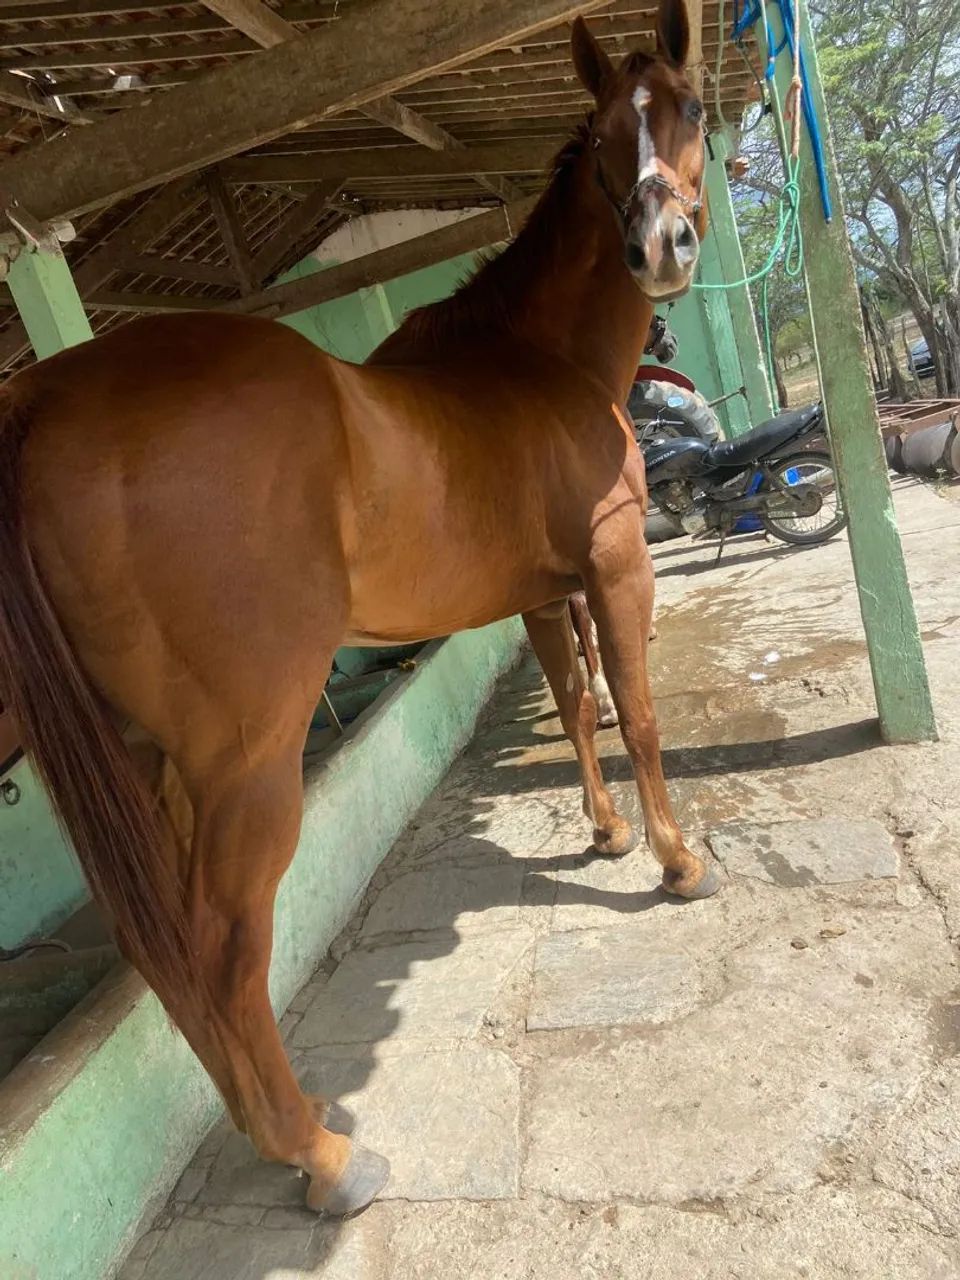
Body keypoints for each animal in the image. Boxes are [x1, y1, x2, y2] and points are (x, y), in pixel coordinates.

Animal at [0, 0, 715, 1217]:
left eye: (693, 109)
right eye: (602, 135)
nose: (661, 248)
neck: (538, 363)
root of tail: (41, 393)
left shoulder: (541, 599)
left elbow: (579, 708)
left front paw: (606, 830)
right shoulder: (616, 570)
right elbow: (640, 713)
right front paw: (675, 860)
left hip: (145, 760)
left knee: (170, 961)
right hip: (247, 762)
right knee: (222, 951)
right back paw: (326, 1156)